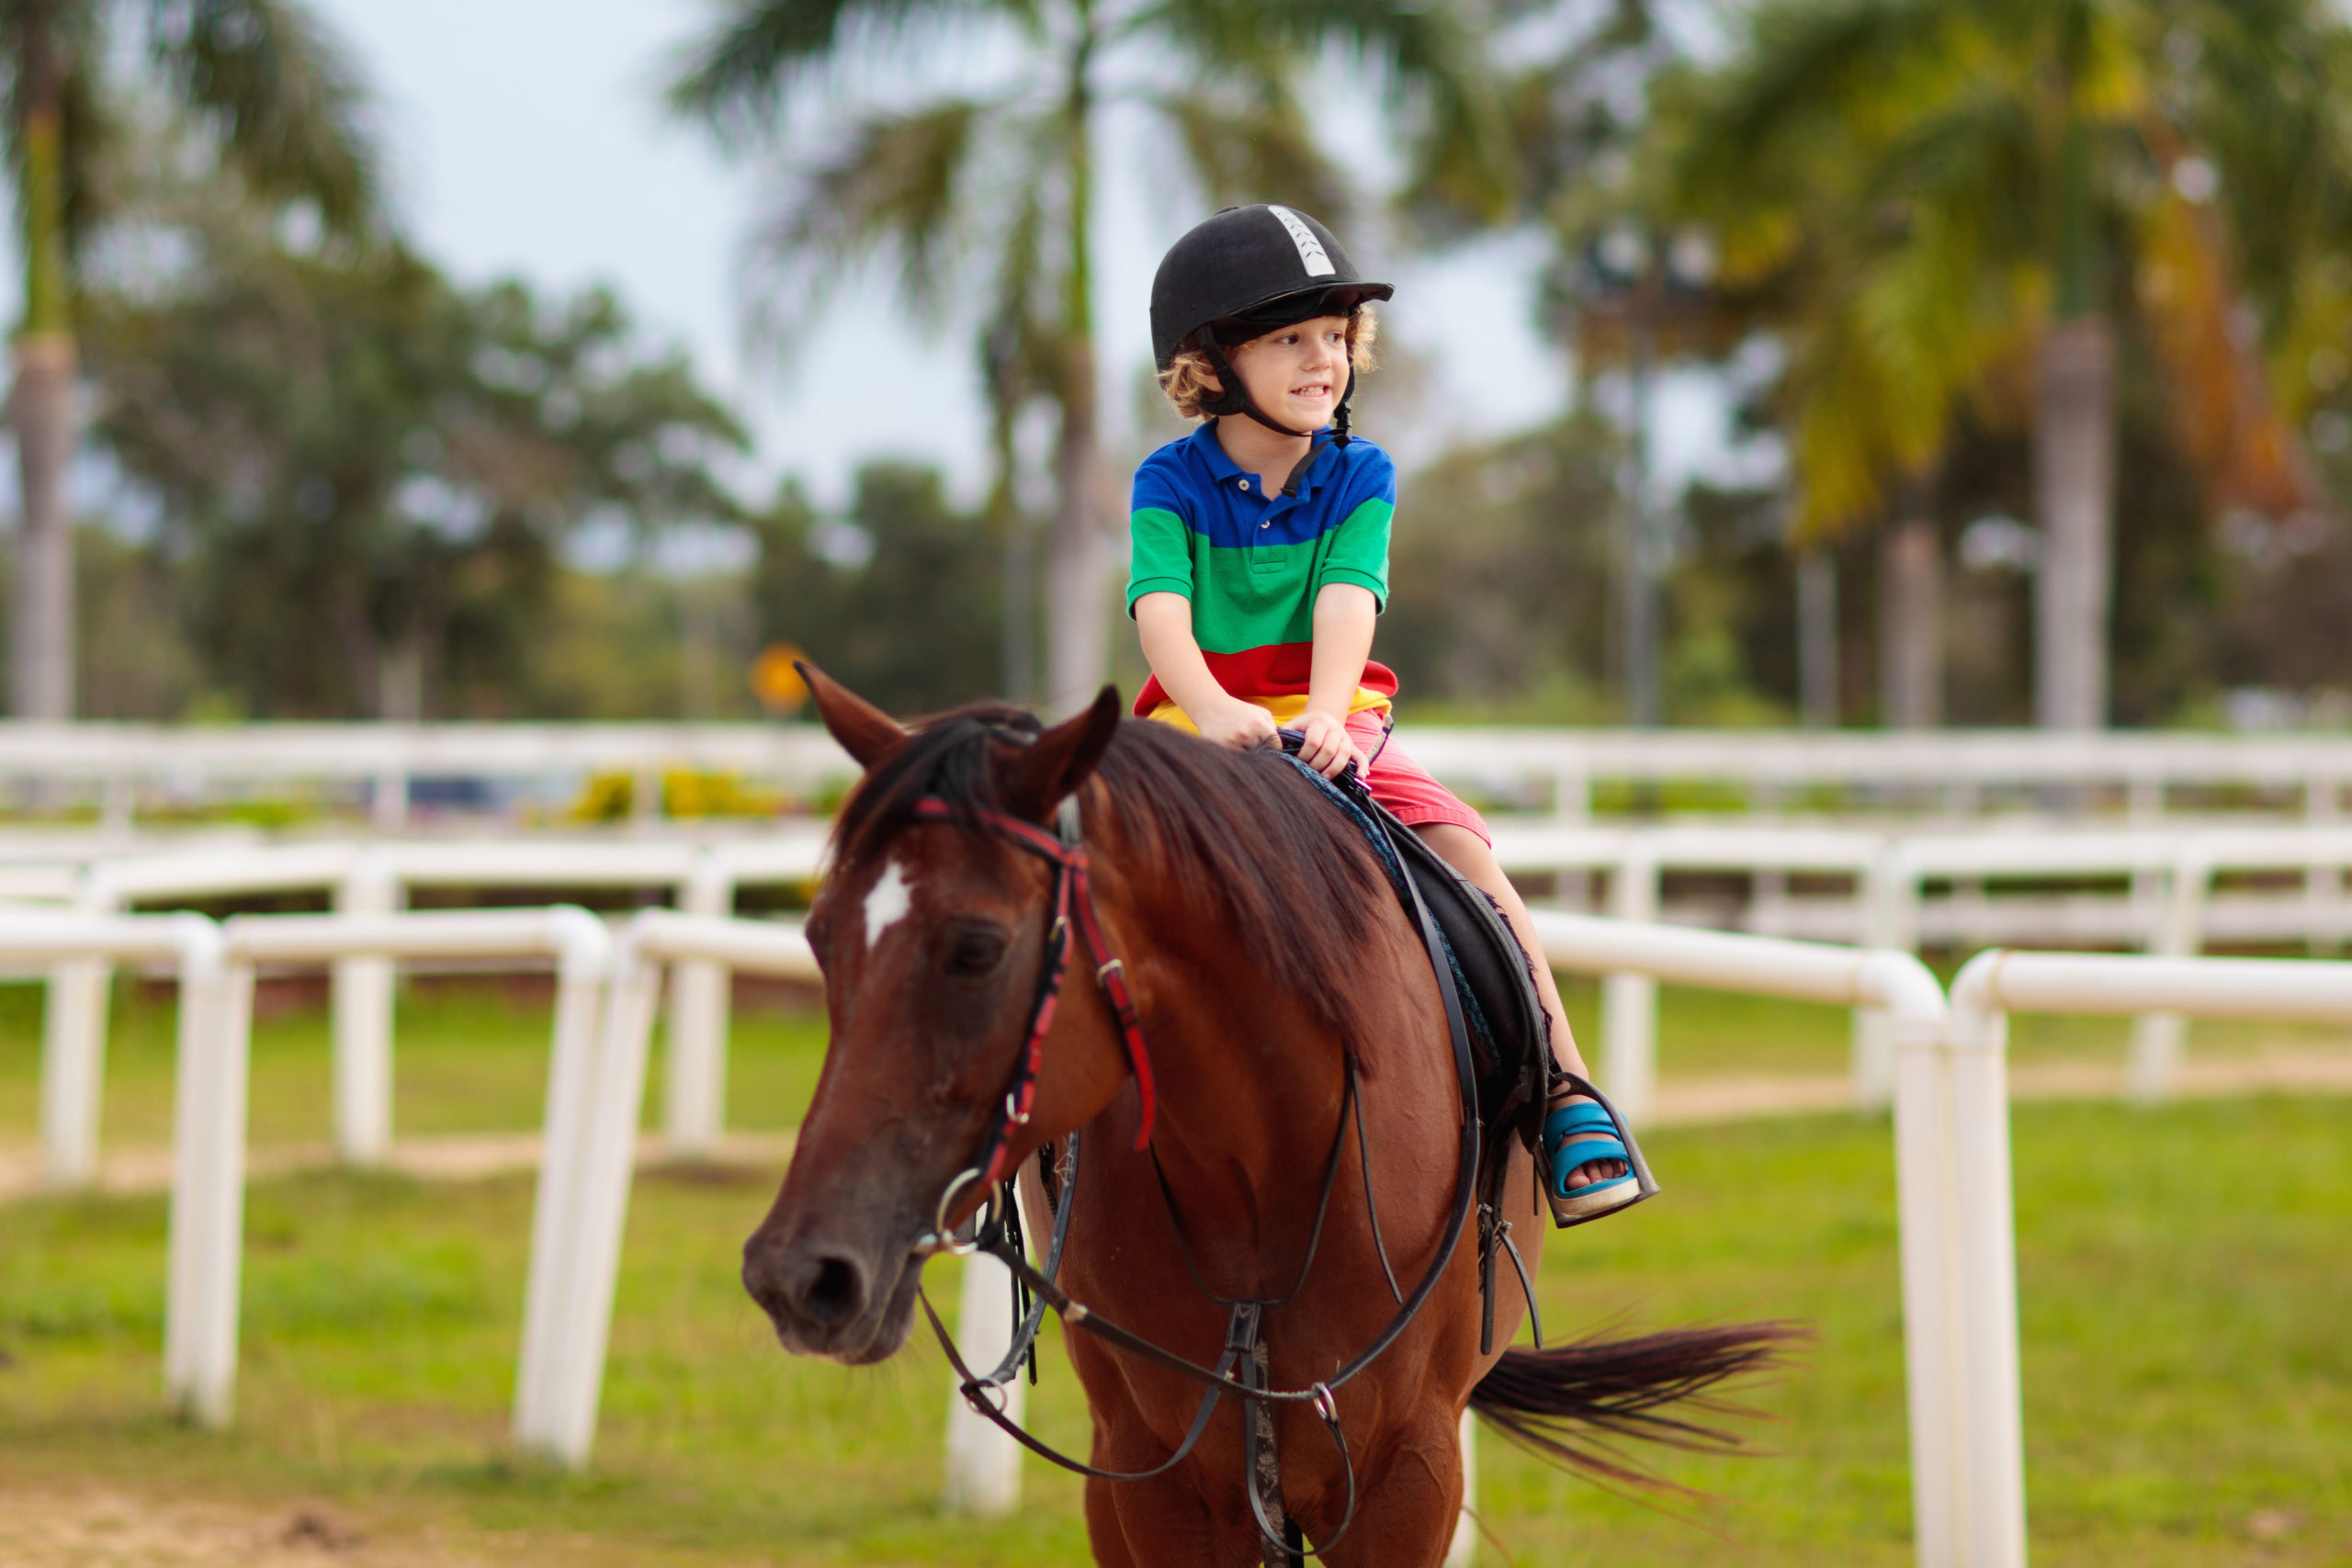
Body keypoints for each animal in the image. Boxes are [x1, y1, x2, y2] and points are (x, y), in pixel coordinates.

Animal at [743, 668, 1790, 1564]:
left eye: (976, 947)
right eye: (818, 936)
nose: (799, 1274)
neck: (1257, 1154)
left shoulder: (1407, 1476)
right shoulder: (1164, 1485)